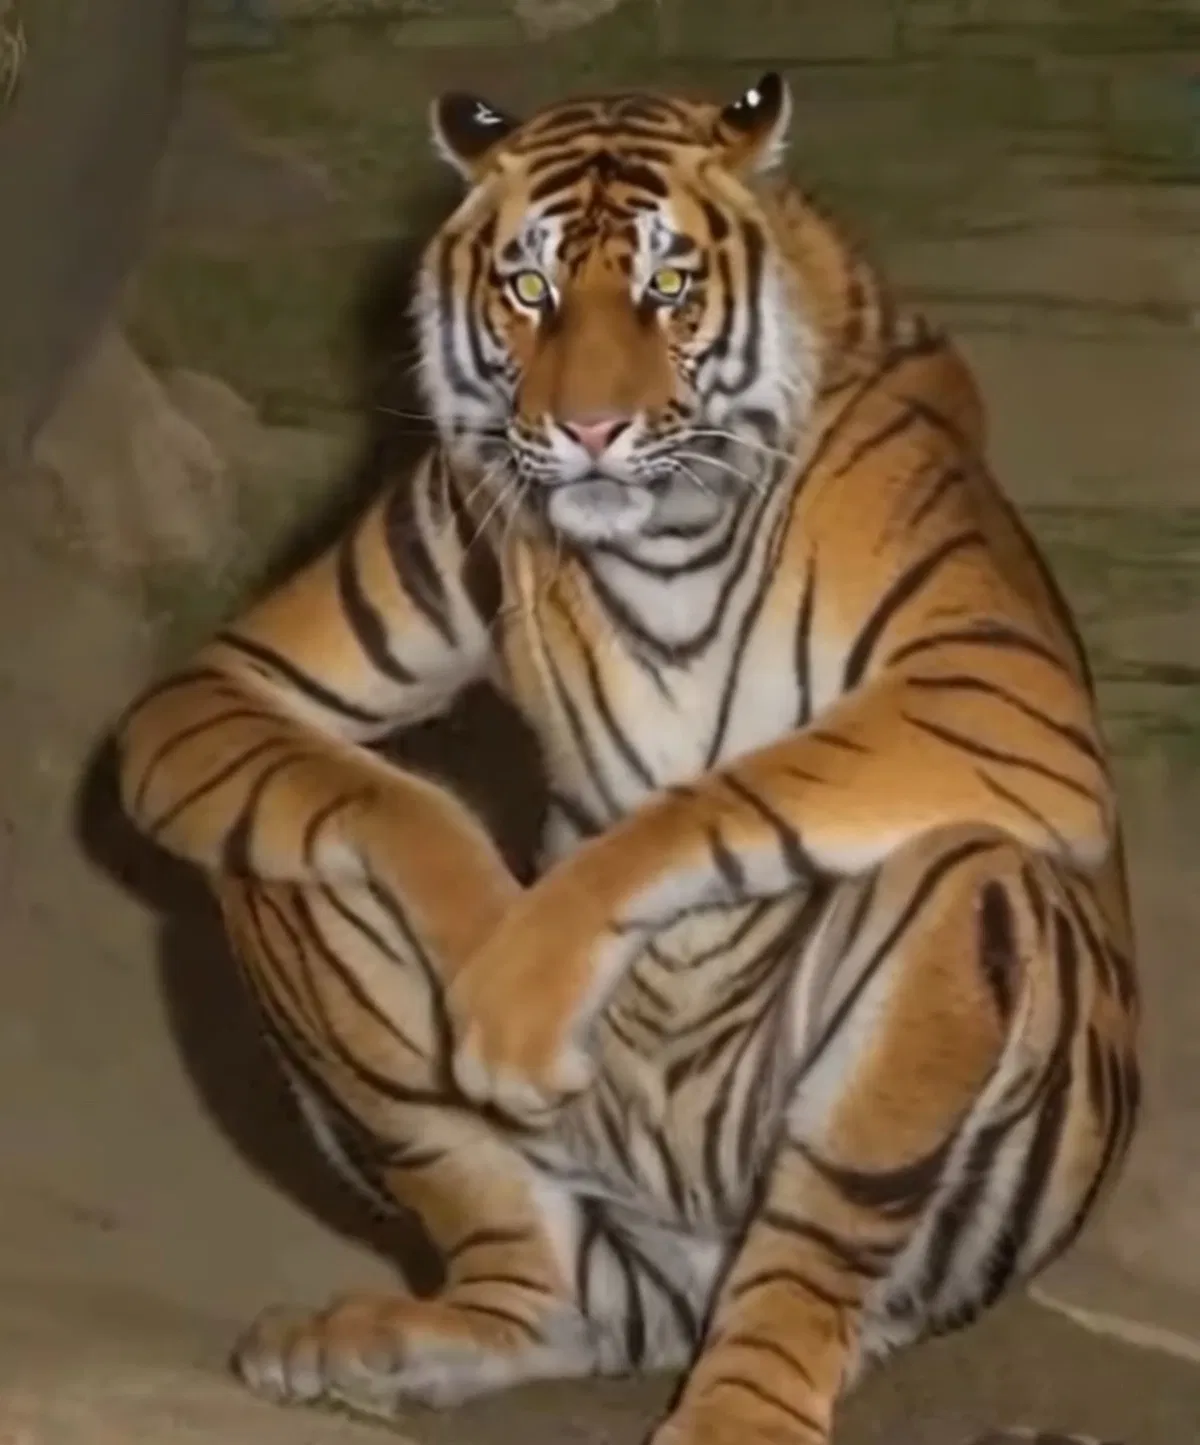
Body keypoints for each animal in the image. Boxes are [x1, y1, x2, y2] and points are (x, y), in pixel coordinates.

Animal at [113, 72, 1139, 1445]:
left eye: (668, 286)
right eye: (529, 287)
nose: (589, 427)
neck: (663, 540)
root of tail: (678, 1289)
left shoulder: (1002, 690)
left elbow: (721, 794)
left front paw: (524, 969)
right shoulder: (253, 673)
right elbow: (378, 791)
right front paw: (483, 947)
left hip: (925, 1070)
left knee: (829, 1208)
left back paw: (740, 1406)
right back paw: (402, 1339)